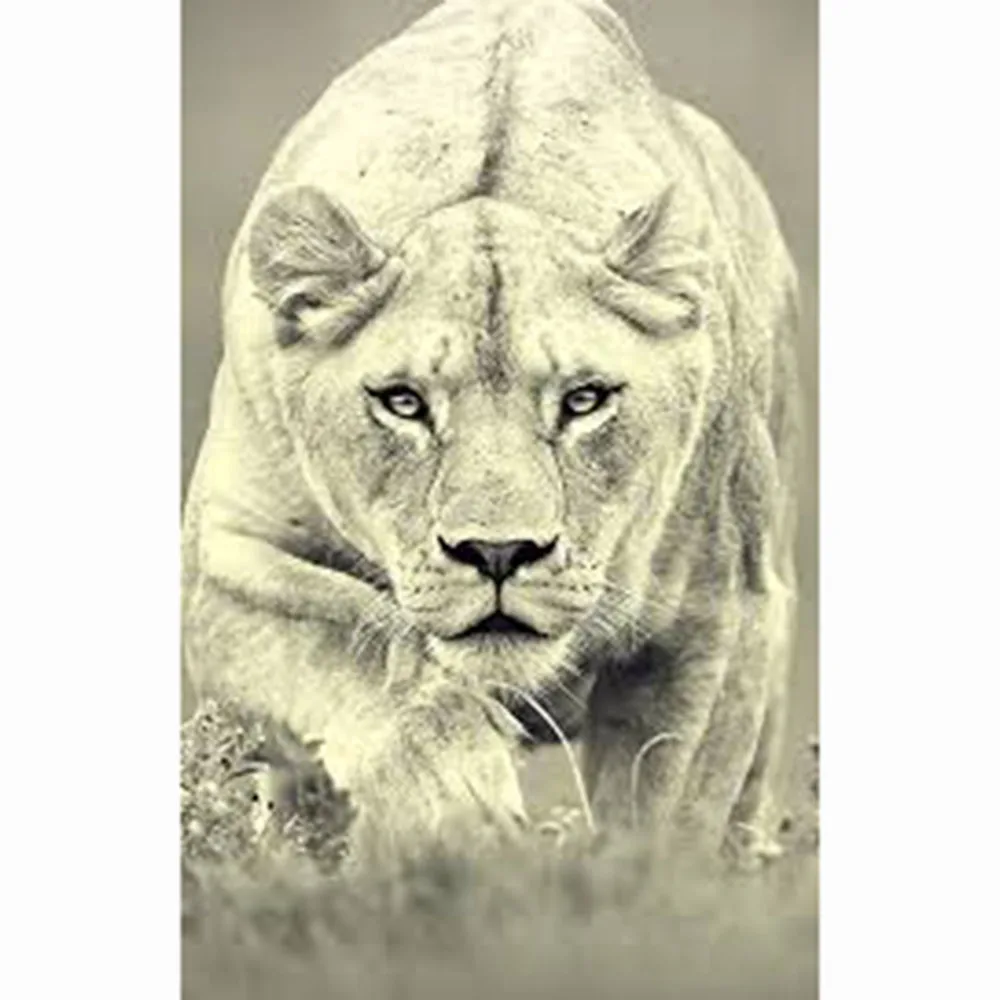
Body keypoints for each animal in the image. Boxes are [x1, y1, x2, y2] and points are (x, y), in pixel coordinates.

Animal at [182, 0, 800, 867]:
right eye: (404, 402)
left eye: (584, 400)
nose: (499, 552)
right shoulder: (225, 565)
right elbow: (360, 645)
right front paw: (461, 813)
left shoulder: (722, 614)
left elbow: (666, 812)